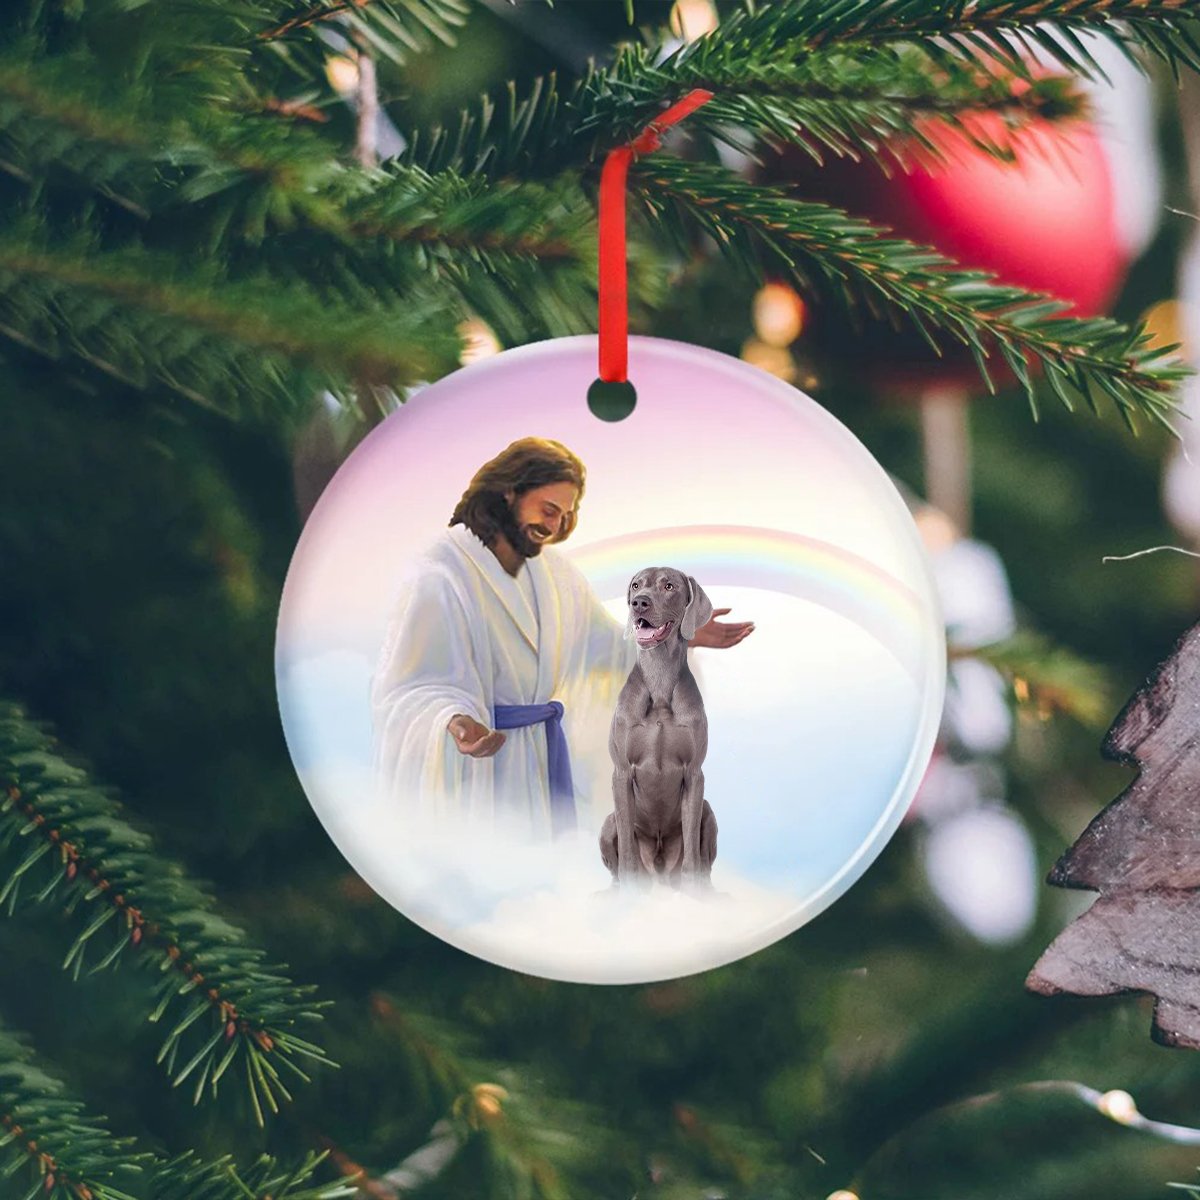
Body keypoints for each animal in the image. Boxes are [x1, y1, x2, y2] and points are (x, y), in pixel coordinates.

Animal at [597, 566, 710, 888]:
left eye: (669, 586)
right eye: (636, 586)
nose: (639, 603)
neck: (659, 682)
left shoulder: (694, 773)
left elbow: (693, 855)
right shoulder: (621, 772)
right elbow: (626, 852)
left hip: (708, 811)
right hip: (608, 822)